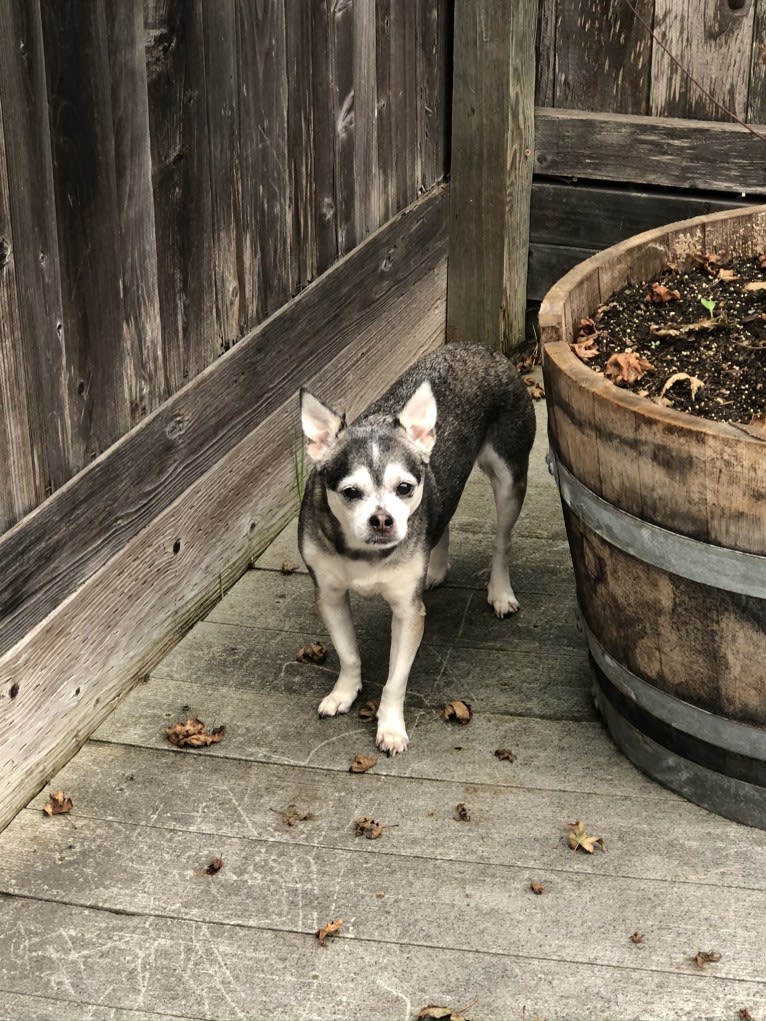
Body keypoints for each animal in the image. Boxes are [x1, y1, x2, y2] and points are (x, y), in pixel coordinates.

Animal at [296, 343, 535, 751]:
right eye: (350, 492)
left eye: (404, 488)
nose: (382, 519)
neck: (364, 553)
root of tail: (480, 348)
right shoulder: (330, 597)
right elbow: (348, 654)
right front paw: (344, 693)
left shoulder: (408, 613)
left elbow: (396, 680)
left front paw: (391, 727)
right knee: (443, 517)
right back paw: (435, 569)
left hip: (509, 476)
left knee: (502, 540)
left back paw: (500, 592)